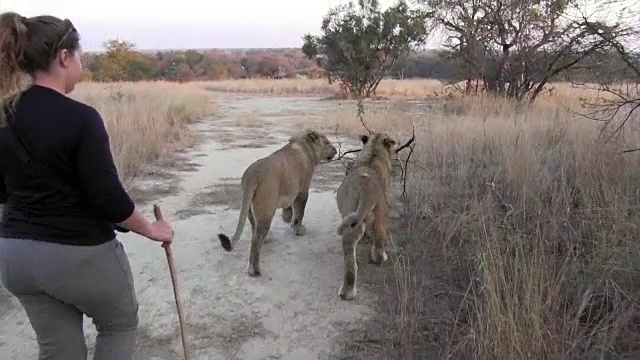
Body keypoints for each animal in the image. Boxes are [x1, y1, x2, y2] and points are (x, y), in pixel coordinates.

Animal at [219, 129, 340, 276]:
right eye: (327, 142)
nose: (335, 150)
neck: (305, 148)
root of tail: (252, 175)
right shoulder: (303, 191)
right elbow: (299, 212)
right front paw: (298, 229)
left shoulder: (290, 189)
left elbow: (289, 208)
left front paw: (287, 218)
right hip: (266, 209)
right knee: (256, 239)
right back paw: (254, 269)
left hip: (248, 207)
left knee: (254, 229)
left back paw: (266, 239)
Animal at [336, 132, 400, 300]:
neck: (373, 153)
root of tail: (365, 188)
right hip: (382, 216)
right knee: (378, 243)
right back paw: (380, 259)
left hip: (352, 216)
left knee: (350, 259)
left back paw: (347, 291)